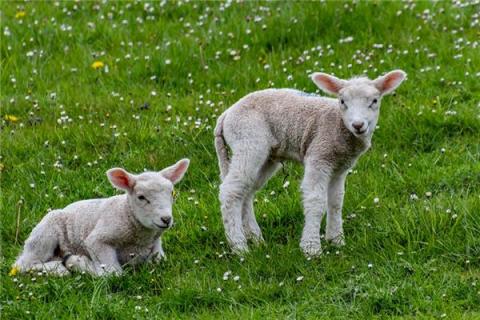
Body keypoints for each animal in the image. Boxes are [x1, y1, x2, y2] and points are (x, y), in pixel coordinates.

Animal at [13, 159, 189, 276]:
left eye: (172, 193)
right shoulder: (98, 240)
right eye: (141, 197)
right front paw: (79, 263)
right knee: (24, 264)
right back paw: (61, 268)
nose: (166, 219)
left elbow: (159, 261)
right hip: (45, 232)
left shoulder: (156, 248)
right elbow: (113, 273)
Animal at [214, 69, 404, 255]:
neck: (338, 124)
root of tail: (226, 114)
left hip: (267, 156)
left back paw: (256, 239)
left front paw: (336, 241)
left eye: (374, 101)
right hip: (248, 141)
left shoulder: (340, 167)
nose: (358, 125)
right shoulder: (319, 156)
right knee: (231, 191)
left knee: (246, 191)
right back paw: (240, 247)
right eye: (342, 101)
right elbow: (316, 201)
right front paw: (311, 248)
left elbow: (336, 202)